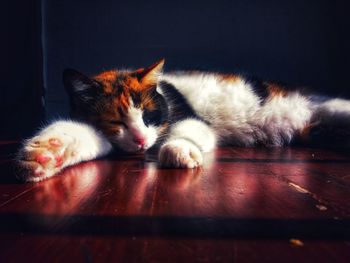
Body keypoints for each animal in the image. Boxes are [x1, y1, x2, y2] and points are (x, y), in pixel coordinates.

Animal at [17, 60, 350, 183]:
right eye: (115, 122)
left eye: (148, 115)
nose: (141, 140)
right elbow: (77, 134)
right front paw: (45, 153)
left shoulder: (193, 119)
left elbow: (188, 130)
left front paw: (178, 150)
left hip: (331, 107)